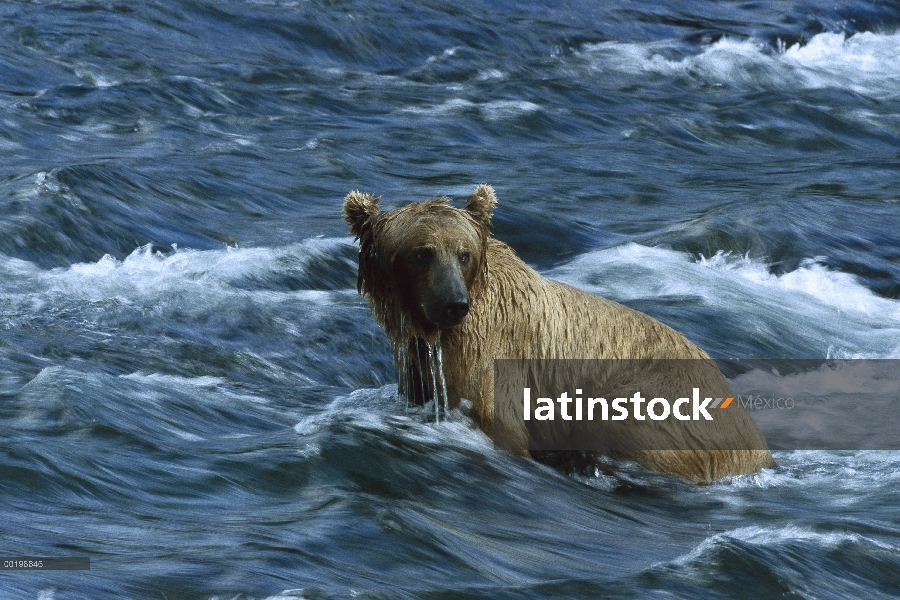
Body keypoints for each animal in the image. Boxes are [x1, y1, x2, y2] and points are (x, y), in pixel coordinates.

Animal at [342, 184, 776, 482]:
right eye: (422, 253)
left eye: (463, 253)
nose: (453, 303)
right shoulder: (421, 366)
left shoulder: (490, 357)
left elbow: (500, 423)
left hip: (662, 405)